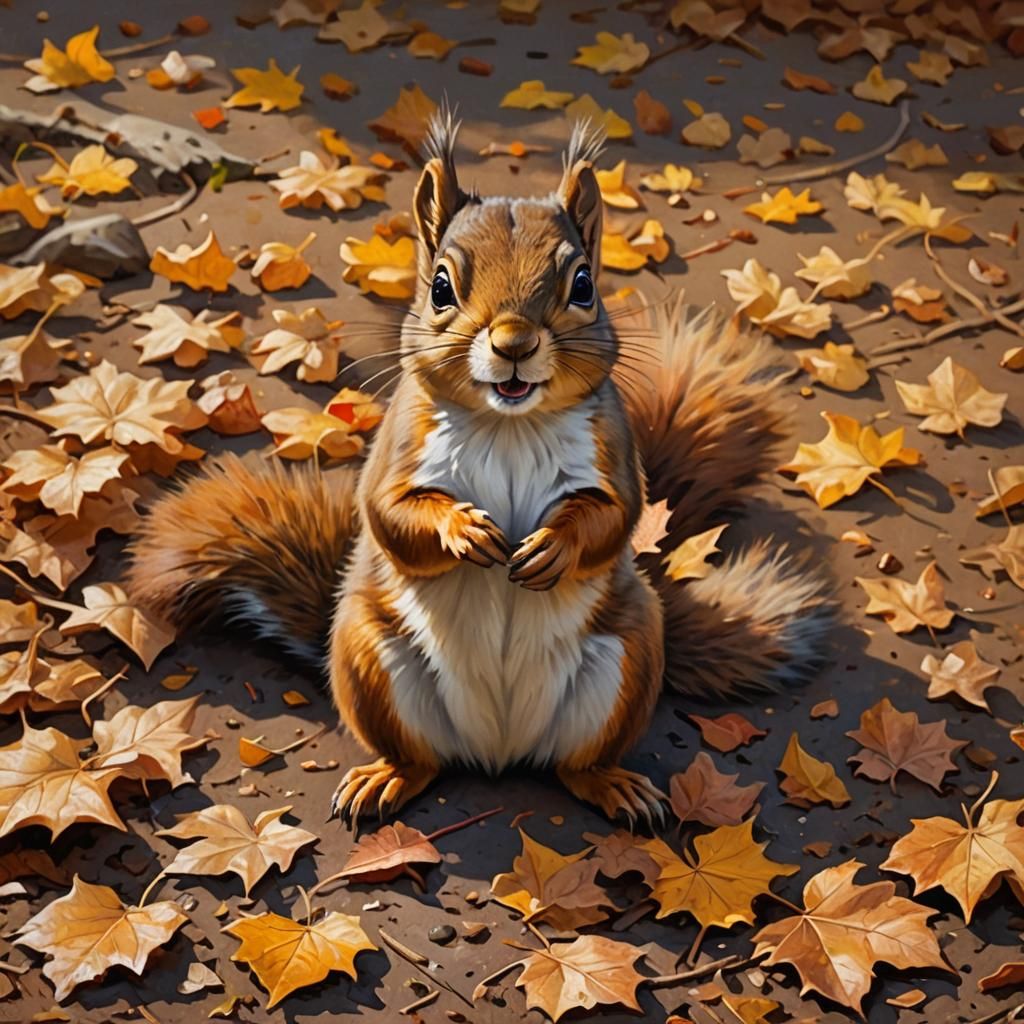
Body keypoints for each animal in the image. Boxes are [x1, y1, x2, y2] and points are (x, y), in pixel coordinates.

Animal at [125, 114, 831, 825]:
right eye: (440, 287)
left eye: (583, 284)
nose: (514, 344)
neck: (508, 423)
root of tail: (499, 751)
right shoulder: (398, 446)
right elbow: (387, 512)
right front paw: (462, 531)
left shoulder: (612, 448)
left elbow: (614, 515)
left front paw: (552, 545)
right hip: (370, 658)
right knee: (421, 758)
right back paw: (386, 778)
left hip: (629, 658)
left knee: (575, 764)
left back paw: (615, 786)